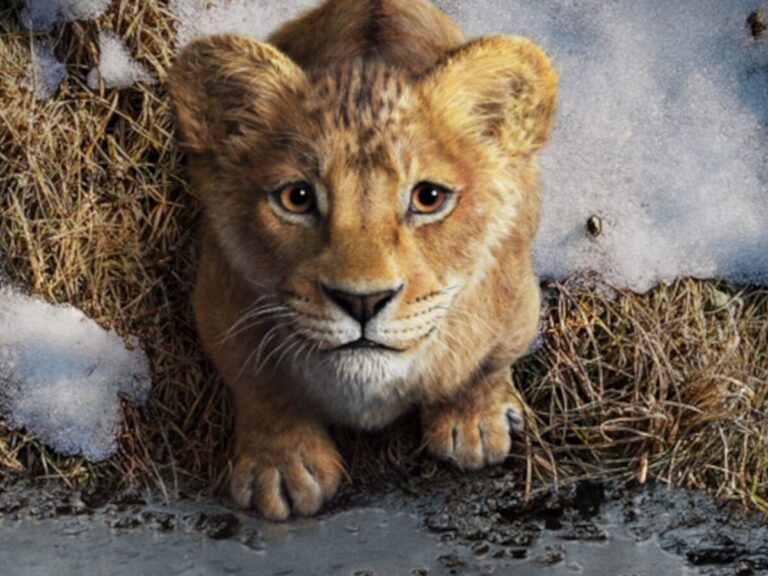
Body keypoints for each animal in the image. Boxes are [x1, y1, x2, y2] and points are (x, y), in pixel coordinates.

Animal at [168, 0, 557, 520]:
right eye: (296, 198)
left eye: (429, 198)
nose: (362, 302)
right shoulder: (219, 300)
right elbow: (259, 384)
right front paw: (283, 466)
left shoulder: (516, 301)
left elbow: (486, 363)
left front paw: (474, 422)